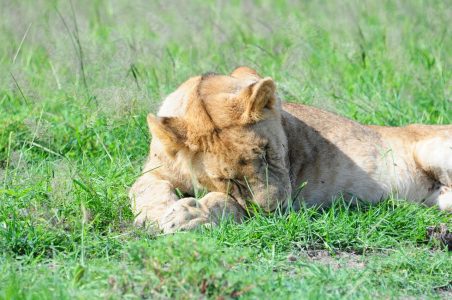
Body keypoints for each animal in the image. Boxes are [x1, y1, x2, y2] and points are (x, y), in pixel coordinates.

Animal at [130, 67, 452, 233]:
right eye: (226, 178)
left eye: (267, 152)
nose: (274, 210)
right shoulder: (154, 171)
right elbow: (145, 189)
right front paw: (158, 215)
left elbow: (230, 204)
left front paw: (192, 216)